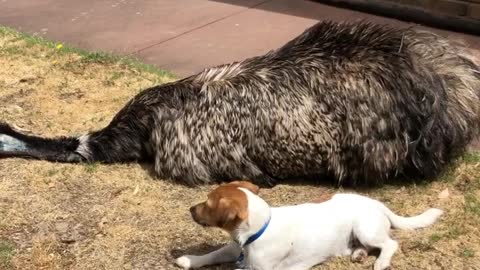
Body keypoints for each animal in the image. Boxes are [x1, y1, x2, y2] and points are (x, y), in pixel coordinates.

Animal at [176, 181, 442, 270]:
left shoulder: (260, 269)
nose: (190, 209)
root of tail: (377, 203)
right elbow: (212, 254)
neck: (259, 230)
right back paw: (358, 254)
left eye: (208, 203)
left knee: (390, 243)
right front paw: (189, 260)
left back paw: (381, 262)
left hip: (365, 228)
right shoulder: (233, 248)